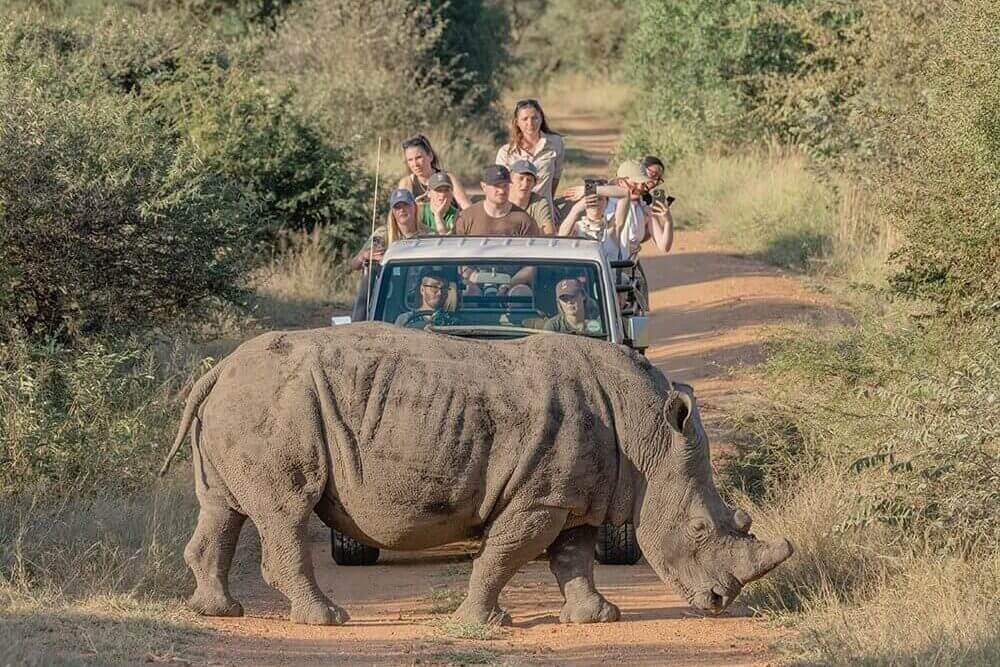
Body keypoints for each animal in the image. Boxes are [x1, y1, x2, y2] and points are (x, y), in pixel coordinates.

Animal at [160, 322, 792, 626]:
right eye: (703, 530)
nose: (718, 603)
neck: (650, 438)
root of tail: (218, 371)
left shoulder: (575, 496)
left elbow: (574, 559)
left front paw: (597, 617)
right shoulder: (541, 498)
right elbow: (504, 556)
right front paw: (480, 622)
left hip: (247, 403)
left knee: (222, 508)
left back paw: (217, 611)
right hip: (277, 407)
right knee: (285, 510)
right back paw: (327, 620)